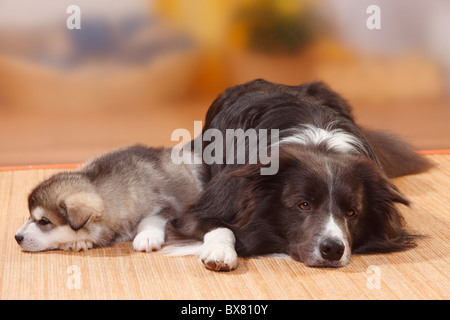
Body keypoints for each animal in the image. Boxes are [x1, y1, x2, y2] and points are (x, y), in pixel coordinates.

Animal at [14, 145, 202, 252]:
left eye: (44, 221)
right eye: (30, 216)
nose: (17, 237)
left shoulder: (168, 205)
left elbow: (150, 218)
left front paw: (147, 237)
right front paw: (79, 242)